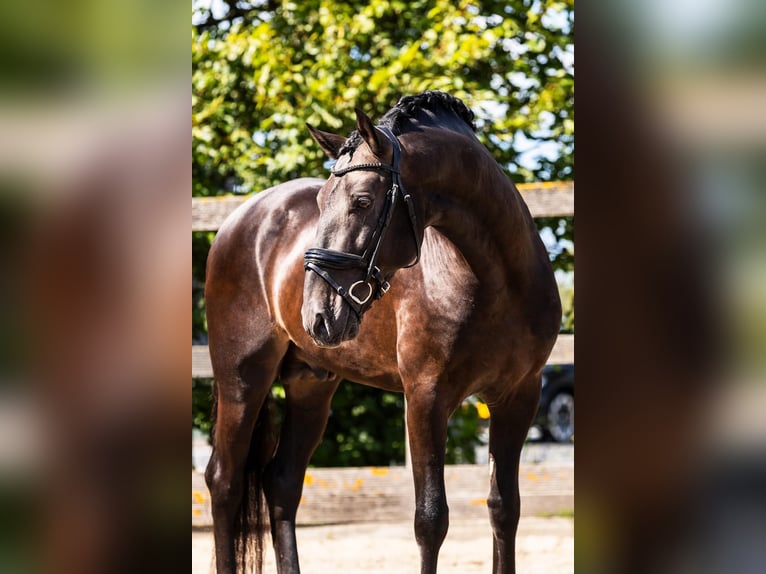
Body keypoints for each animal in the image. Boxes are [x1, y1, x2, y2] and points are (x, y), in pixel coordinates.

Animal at [206, 92, 564, 572]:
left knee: (281, 483)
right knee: (224, 482)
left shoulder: (518, 397)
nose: (316, 314)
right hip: (241, 378)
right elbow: (430, 520)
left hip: (311, 384)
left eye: (361, 200)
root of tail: (241, 217)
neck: (496, 282)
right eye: (322, 200)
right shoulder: (426, 398)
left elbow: (504, 509)